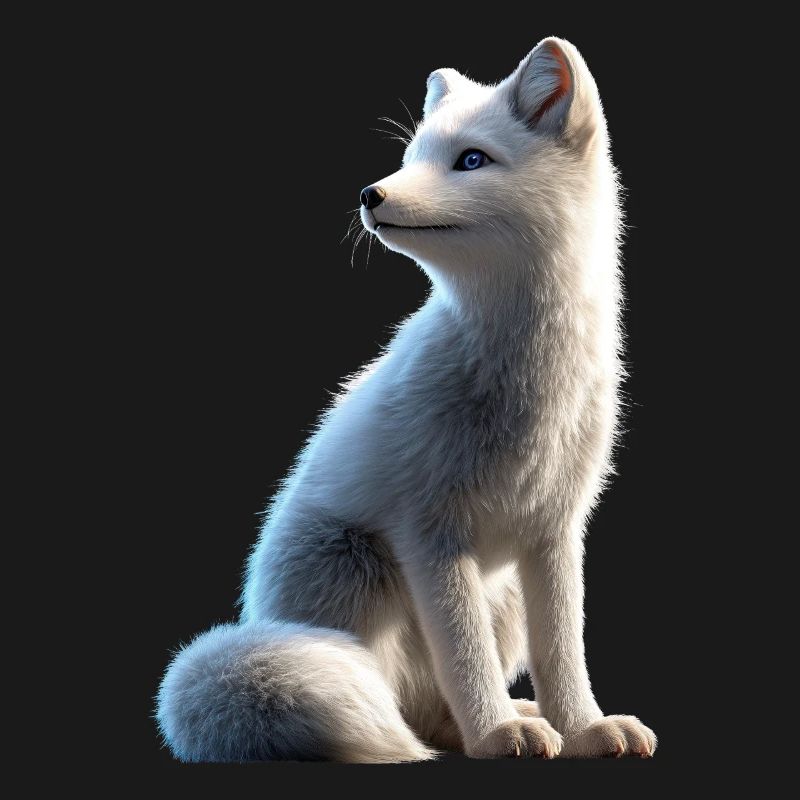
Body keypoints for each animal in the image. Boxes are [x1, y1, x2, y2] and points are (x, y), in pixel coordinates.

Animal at [157, 37, 656, 762]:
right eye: (412, 155)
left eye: (471, 159)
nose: (370, 192)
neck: (527, 379)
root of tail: (257, 616)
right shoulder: (429, 531)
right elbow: (466, 658)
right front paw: (497, 734)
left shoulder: (555, 530)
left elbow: (564, 651)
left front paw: (586, 728)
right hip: (359, 571)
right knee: (404, 703)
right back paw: (475, 729)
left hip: (500, 594)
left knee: (432, 707)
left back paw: (516, 717)